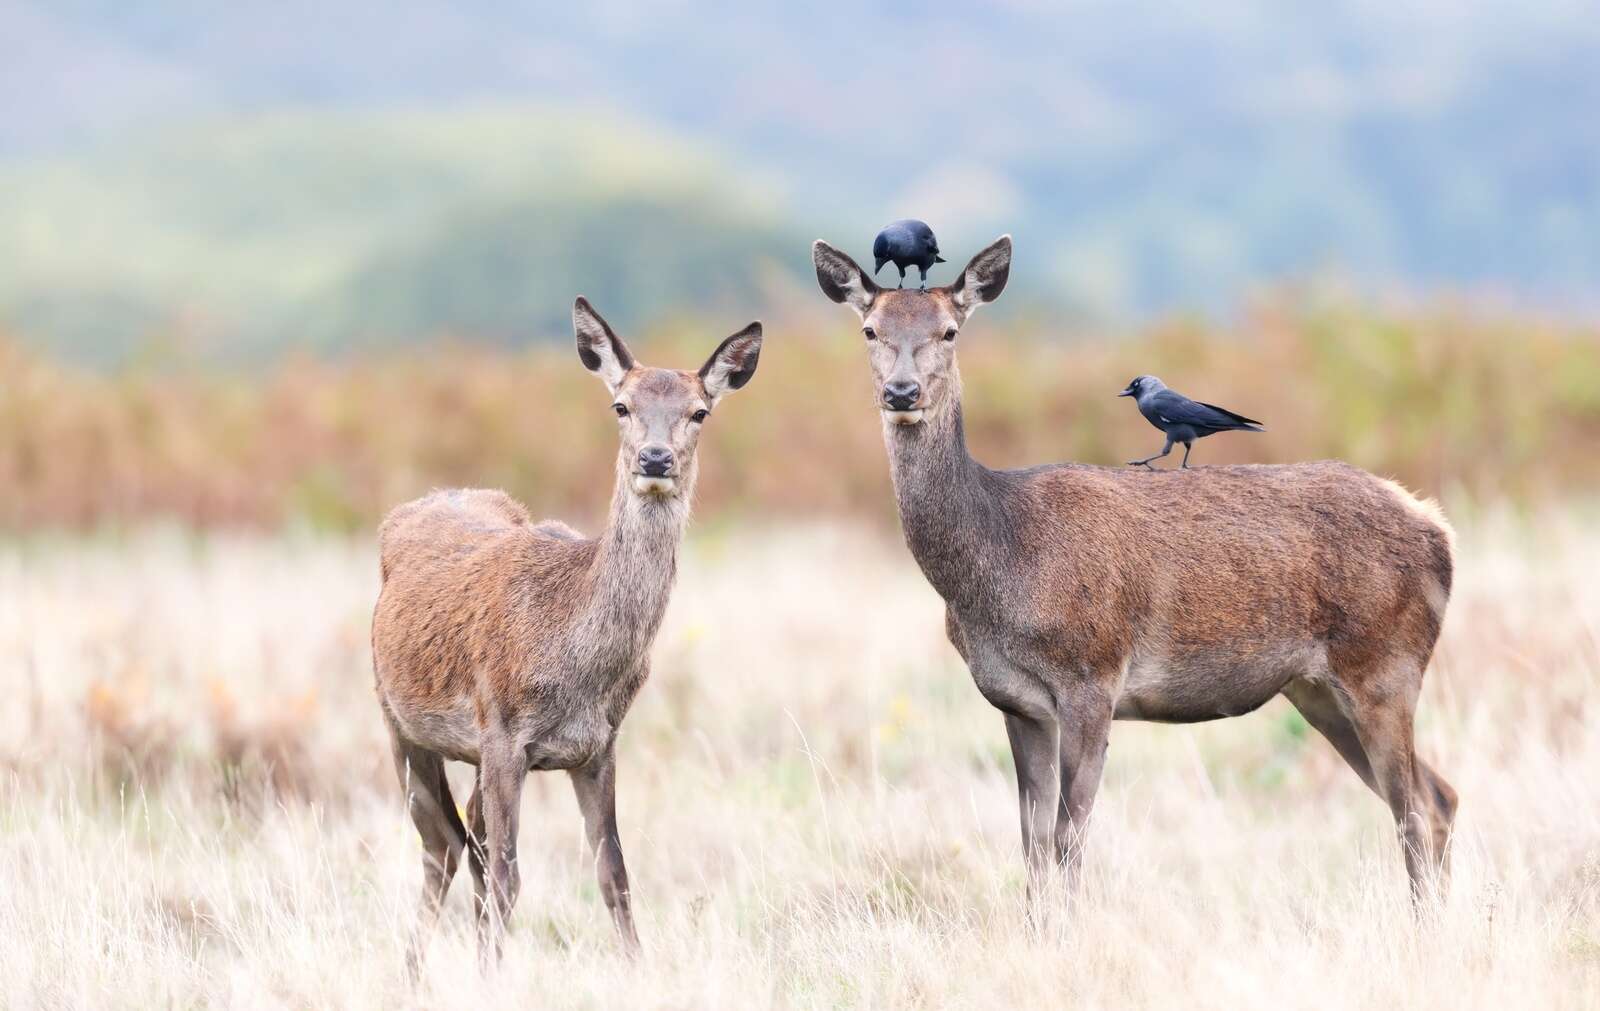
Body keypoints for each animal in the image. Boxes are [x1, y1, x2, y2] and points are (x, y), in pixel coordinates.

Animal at [371, 297, 761, 970]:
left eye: (699, 411)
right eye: (621, 406)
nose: (654, 459)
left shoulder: (599, 745)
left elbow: (614, 873)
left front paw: (637, 969)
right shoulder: (503, 733)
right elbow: (510, 875)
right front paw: (492, 976)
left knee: (467, 837)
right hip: (400, 722)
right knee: (443, 845)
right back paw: (412, 973)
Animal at [812, 235, 1458, 903]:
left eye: (949, 331)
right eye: (869, 329)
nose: (902, 393)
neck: (1003, 561)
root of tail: (1438, 527)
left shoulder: (1093, 676)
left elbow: (1069, 838)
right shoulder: (1015, 703)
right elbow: (1032, 845)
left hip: (1385, 665)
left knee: (1416, 808)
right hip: (1317, 689)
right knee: (1438, 796)